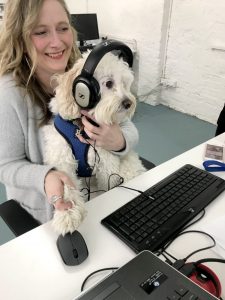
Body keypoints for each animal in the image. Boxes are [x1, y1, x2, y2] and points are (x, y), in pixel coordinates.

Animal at [42, 51, 146, 236]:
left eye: (125, 84)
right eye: (109, 83)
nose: (128, 103)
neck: (81, 127)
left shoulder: (107, 166)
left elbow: (108, 186)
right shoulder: (63, 162)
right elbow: (65, 187)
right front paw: (67, 213)